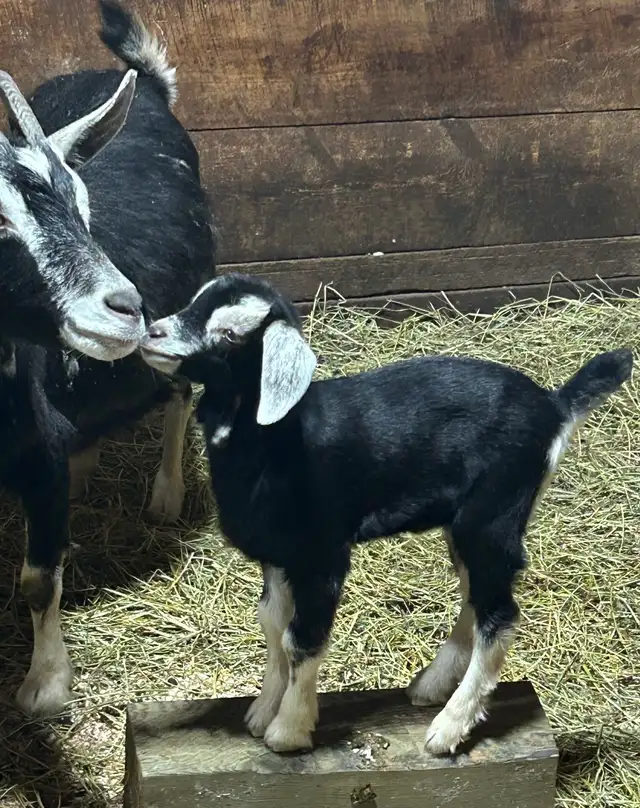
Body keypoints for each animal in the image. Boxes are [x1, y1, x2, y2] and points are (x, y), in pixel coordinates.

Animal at [0, 0, 214, 716]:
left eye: (83, 203)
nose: (125, 307)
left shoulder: (36, 453)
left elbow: (38, 579)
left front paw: (44, 685)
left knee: (179, 395)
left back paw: (166, 496)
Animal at [140, 273, 632, 755]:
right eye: (194, 303)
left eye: (229, 334)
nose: (152, 333)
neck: (273, 438)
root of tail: (554, 405)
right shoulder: (279, 555)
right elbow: (273, 623)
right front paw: (263, 711)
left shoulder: (322, 555)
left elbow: (301, 637)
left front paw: (289, 729)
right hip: (465, 527)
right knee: (475, 597)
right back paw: (431, 686)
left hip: (493, 514)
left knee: (501, 614)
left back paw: (449, 727)